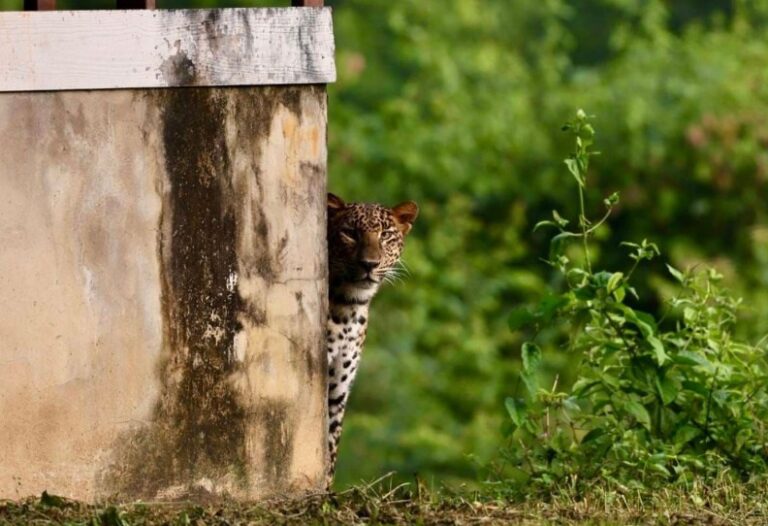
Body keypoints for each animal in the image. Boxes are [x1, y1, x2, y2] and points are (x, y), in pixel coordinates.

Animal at [324, 194, 420, 490]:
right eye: (350, 233)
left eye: (386, 235)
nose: (369, 264)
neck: (348, 307)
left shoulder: (338, 391)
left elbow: (331, 445)